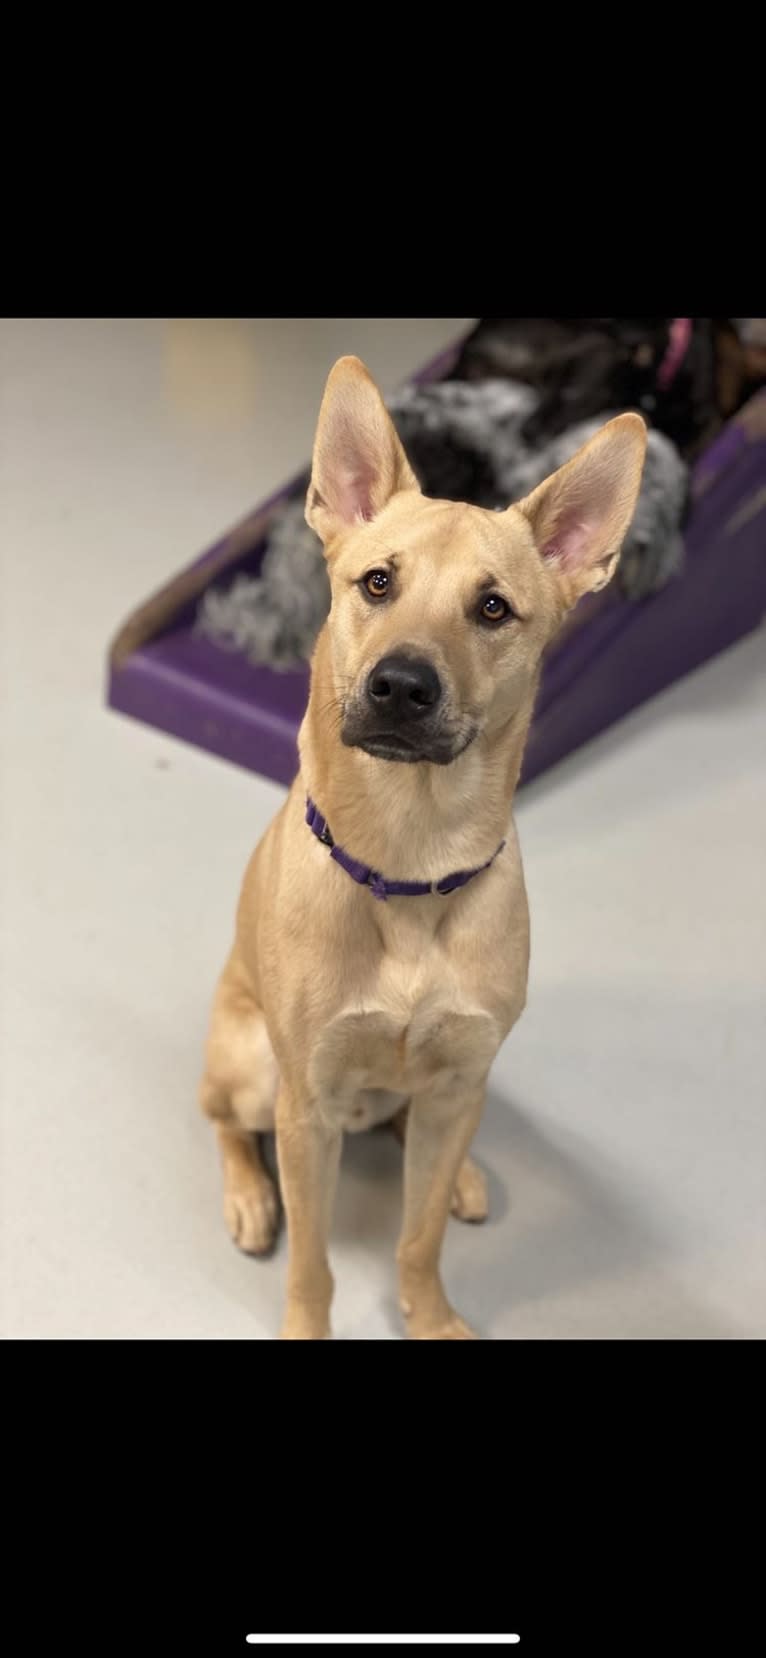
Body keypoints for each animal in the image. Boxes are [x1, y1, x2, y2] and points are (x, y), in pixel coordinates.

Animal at [198, 356, 646, 1339]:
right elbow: (314, 1262)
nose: (402, 685)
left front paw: (431, 1315)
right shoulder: (307, 1107)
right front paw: (306, 1323)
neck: (409, 862)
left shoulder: (455, 1082)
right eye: (376, 583)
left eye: (494, 608)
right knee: (222, 1119)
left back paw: (465, 1177)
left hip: (450, 1090)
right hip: (251, 1067)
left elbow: (419, 1236)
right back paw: (247, 1196)